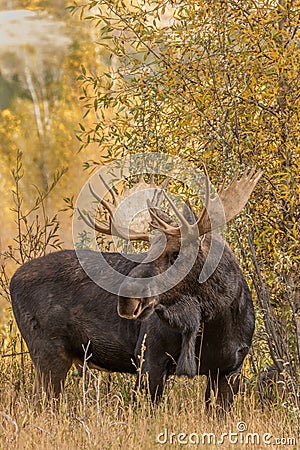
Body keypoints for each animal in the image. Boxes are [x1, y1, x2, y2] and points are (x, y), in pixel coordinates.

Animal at [9, 164, 262, 408]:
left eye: (176, 253)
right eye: (147, 252)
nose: (126, 298)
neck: (218, 322)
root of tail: (12, 279)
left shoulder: (230, 369)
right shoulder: (150, 356)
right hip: (48, 352)